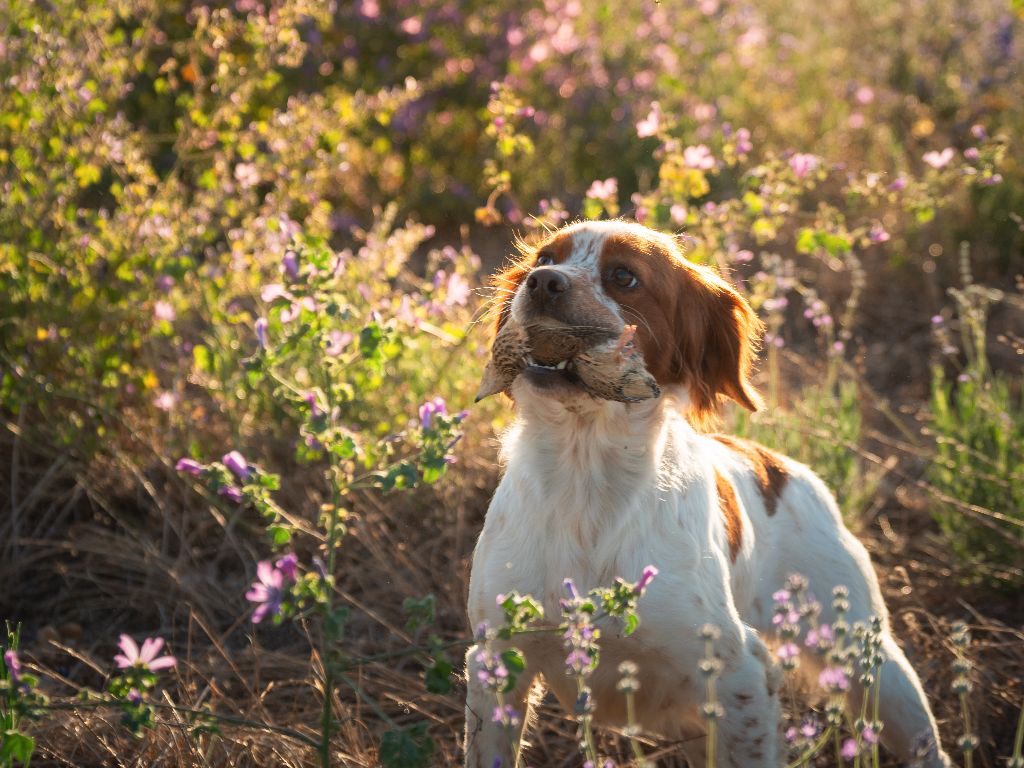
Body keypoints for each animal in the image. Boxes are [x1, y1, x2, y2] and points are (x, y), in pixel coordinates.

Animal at [464, 219, 950, 765]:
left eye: (624, 277)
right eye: (545, 257)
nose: (543, 282)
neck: (584, 479)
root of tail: (780, 465)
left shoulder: (743, 674)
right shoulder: (494, 660)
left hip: (873, 665)